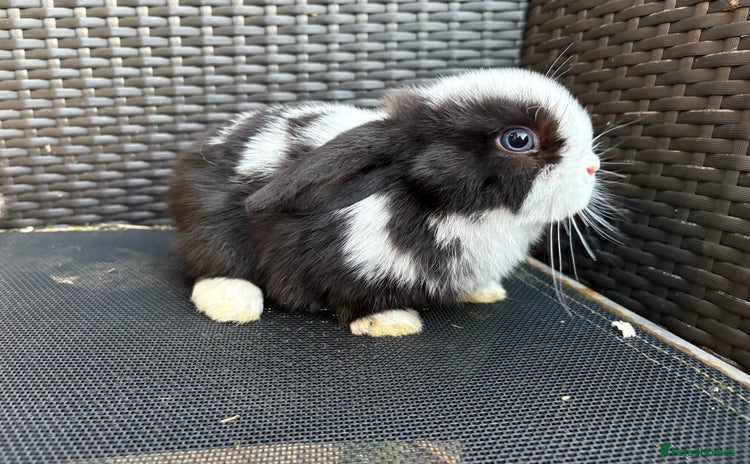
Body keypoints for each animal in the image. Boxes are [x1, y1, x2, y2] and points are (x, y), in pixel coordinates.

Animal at [167, 68, 601, 337]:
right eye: (518, 139)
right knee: (212, 267)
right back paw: (234, 304)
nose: (593, 167)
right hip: (215, 236)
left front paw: (486, 291)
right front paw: (391, 322)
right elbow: (358, 297)